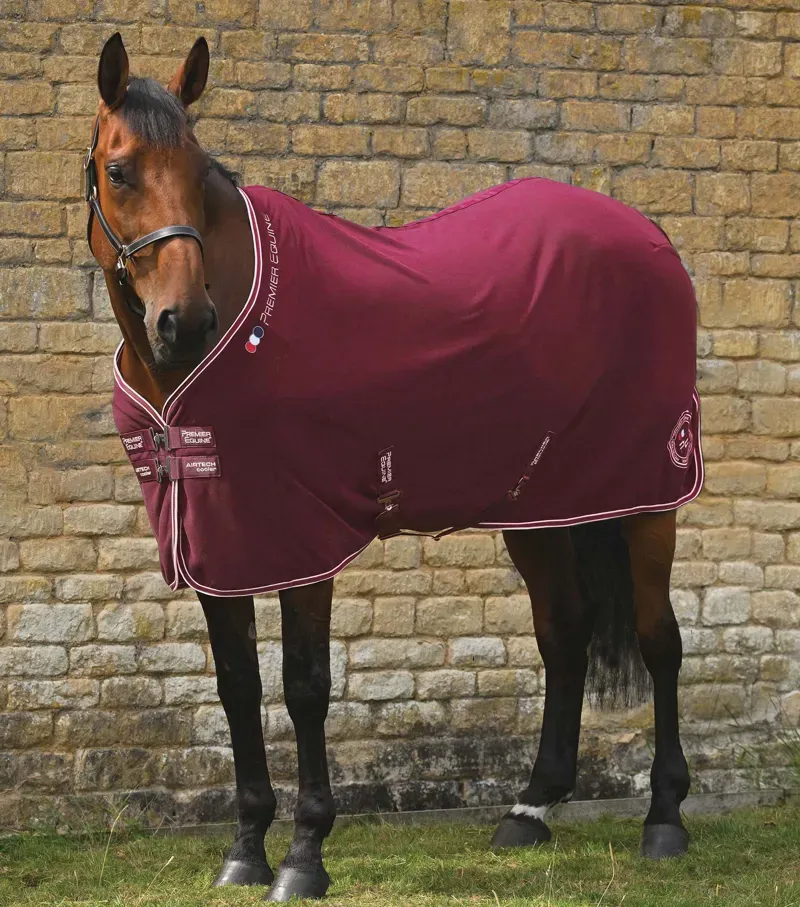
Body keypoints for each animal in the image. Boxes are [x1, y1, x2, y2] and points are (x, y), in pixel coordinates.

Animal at [84, 32, 702, 902]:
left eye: (197, 166)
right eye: (120, 169)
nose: (185, 322)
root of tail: (647, 235)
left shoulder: (300, 537)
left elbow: (305, 685)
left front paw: (305, 854)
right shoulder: (219, 538)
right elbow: (237, 683)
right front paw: (244, 849)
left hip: (651, 491)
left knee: (659, 639)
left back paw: (665, 819)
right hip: (539, 505)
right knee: (565, 631)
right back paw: (530, 808)